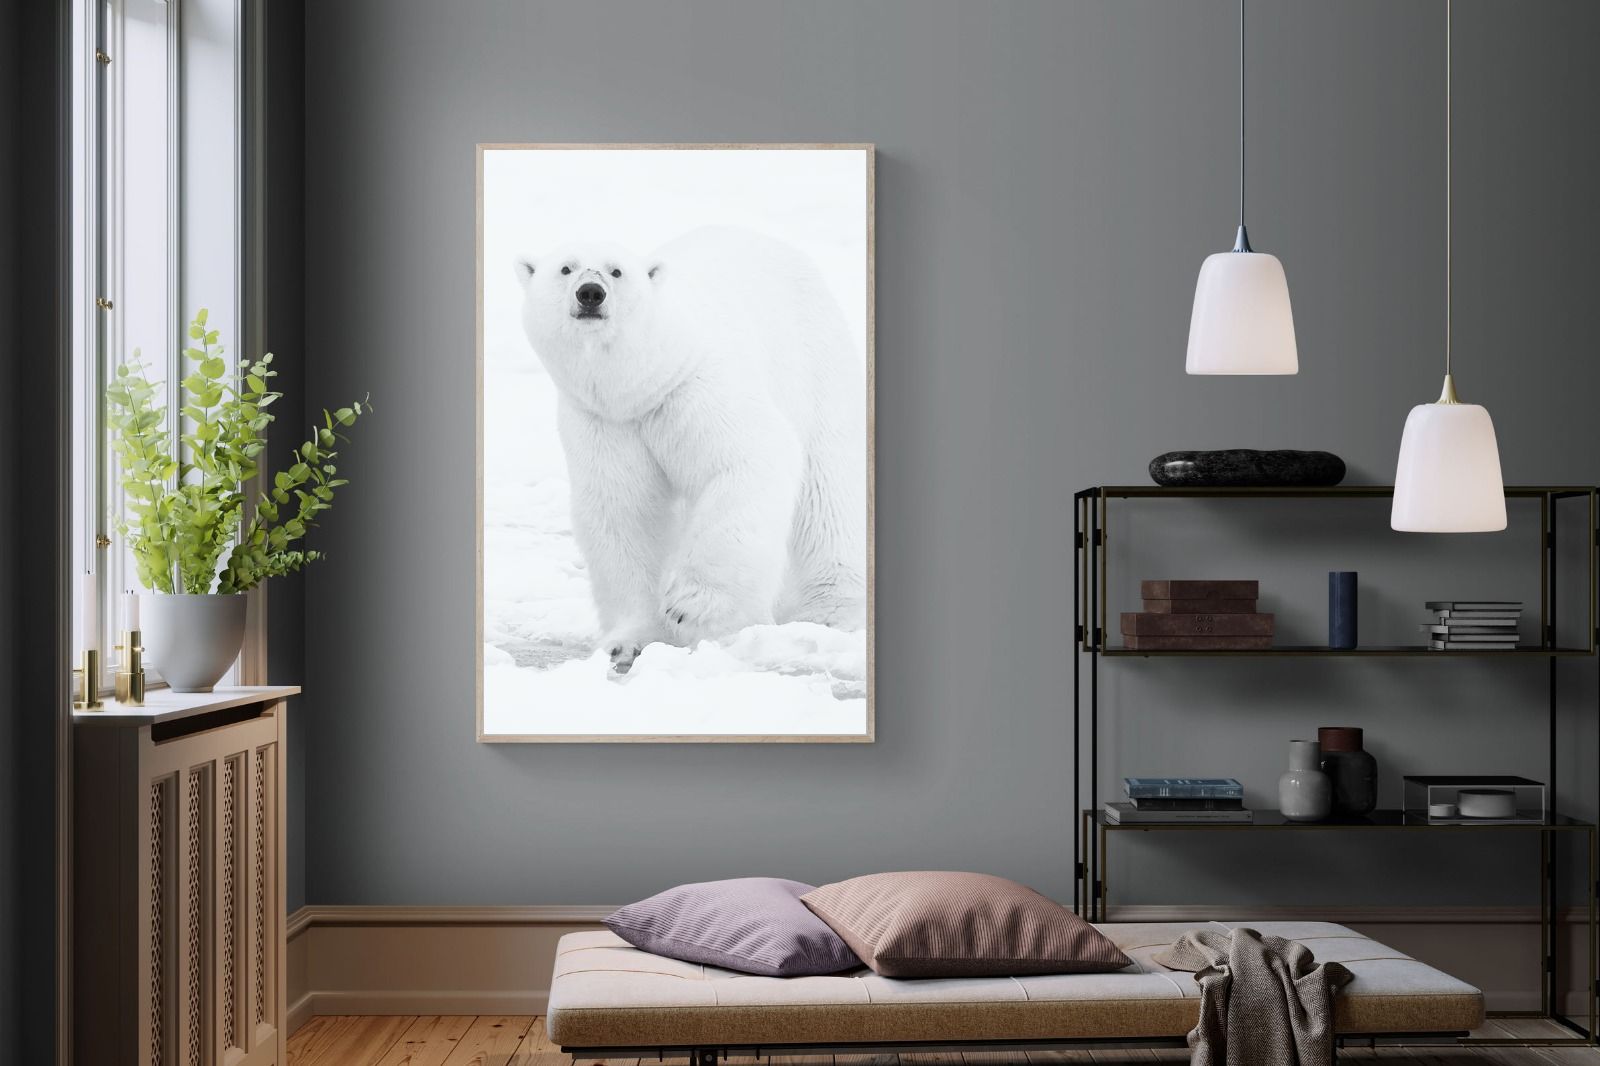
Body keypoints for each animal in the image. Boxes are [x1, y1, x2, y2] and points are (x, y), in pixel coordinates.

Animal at [514, 226, 867, 673]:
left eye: (617, 270)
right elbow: (623, 510)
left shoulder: (695, 388)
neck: (644, 385)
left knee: (828, 488)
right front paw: (628, 641)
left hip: (816, 361)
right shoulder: (605, 422)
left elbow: (747, 458)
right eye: (566, 268)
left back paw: (828, 612)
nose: (590, 293)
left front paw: (692, 606)